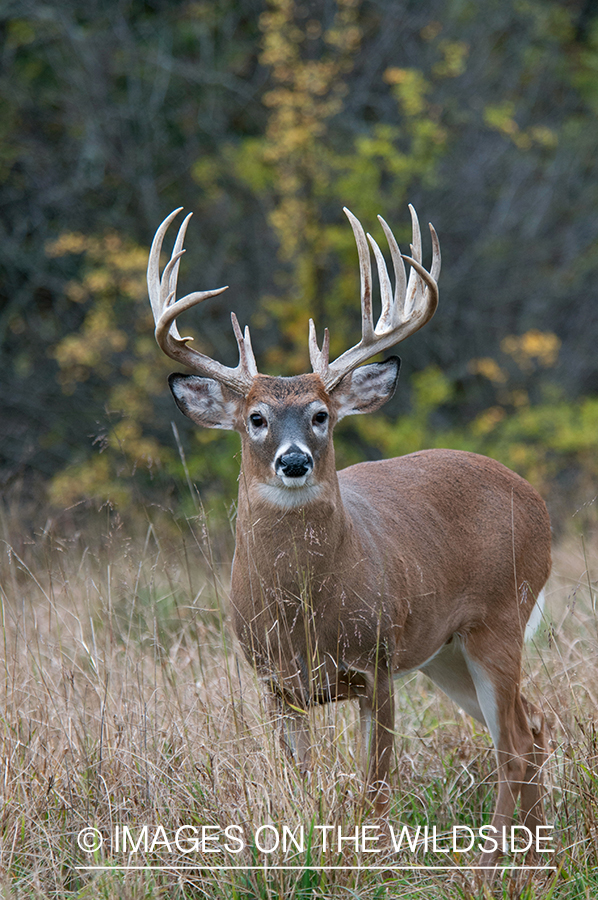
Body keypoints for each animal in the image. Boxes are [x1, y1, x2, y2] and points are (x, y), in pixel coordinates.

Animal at [148, 202, 552, 864]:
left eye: (320, 415)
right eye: (255, 418)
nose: (293, 460)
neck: (306, 613)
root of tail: (534, 498)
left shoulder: (377, 661)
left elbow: (377, 789)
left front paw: (373, 862)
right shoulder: (275, 683)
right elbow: (303, 782)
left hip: (499, 617)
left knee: (514, 741)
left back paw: (491, 868)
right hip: (447, 651)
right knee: (535, 724)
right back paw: (536, 861)